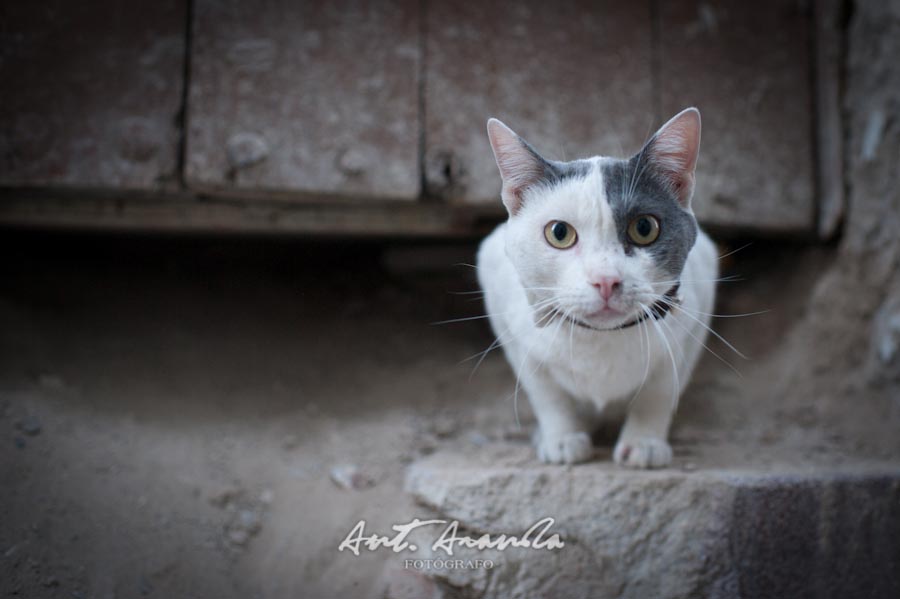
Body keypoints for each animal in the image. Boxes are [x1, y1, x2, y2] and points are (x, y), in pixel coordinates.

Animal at [478, 110, 716, 472]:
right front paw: (562, 438)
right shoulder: (508, 317)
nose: (605, 280)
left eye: (644, 228)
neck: (600, 340)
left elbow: (659, 392)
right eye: (559, 233)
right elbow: (547, 394)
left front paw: (644, 442)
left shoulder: (693, 316)